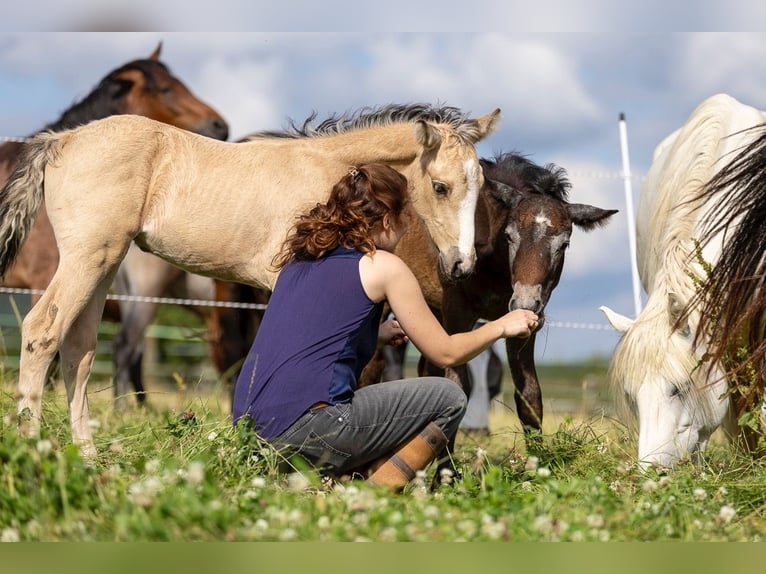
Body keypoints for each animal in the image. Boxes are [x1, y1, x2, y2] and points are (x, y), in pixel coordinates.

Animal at [0, 103, 500, 460]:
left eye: (479, 186)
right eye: (440, 187)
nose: (461, 264)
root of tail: (61, 140)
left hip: (103, 263)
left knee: (79, 349)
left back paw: (85, 455)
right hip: (88, 257)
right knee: (43, 330)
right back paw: (33, 448)